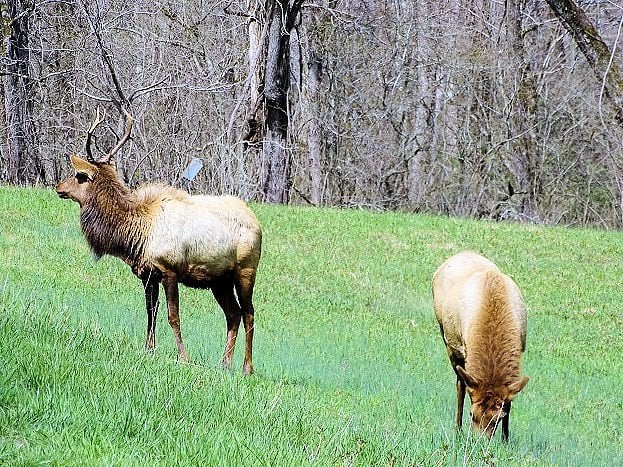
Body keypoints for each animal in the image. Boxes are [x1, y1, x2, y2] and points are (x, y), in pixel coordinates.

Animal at [56, 108, 264, 374]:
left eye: (79, 175)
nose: (59, 186)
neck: (135, 233)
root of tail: (256, 222)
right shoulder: (147, 274)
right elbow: (150, 313)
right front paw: (149, 350)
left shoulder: (169, 270)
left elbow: (173, 316)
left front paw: (183, 357)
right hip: (220, 280)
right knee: (233, 314)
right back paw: (224, 363)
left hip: (245, 271)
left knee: (249, 313)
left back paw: (247, 368)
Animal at [434, 252, 532, 438]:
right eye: (472, 414)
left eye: (499, 418)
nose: (478, 441)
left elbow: (509, 400)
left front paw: (505, 438)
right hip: (447, 339)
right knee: (460, 385)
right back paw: (457, 428)